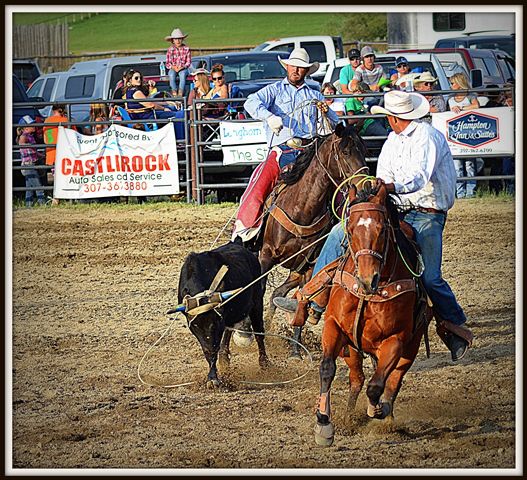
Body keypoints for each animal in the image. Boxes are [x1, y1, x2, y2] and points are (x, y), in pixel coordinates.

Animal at [314, 184, 428, 446]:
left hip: (411, 347)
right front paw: (323, 424)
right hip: (352, 349)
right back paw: (348, 417)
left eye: (382, 229)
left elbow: (377, 386)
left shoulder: (395, 340)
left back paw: (386, 414)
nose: (367, 280)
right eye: (350, 229)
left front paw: (377, 410)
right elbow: (327, 368)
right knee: (357, 379)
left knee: (393, 380)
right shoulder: (333, 326)